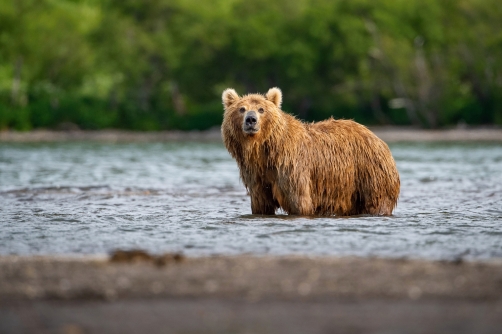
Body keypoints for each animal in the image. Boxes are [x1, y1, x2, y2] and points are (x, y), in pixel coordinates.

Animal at [220, 87, 400, 215]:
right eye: (242, 109)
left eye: (261, 109)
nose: (251, 120)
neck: (264, 150)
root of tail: (376, 137)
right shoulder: (256, 174)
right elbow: (261, 204)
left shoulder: (291, 168)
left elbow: (300, 202)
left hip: (369, 172)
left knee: (377, 201)